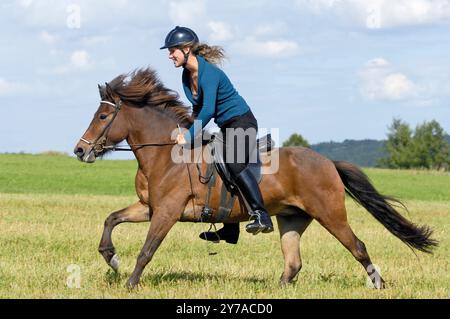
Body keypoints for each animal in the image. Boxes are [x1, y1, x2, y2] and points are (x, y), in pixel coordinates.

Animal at [73, 69, 436, 292]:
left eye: (103, 116)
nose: (80, 150)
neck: (165, 154)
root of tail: (327, 163)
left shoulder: (167, 212)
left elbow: (147, 250)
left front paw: (130, 283)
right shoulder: (149, 207)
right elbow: (111, 220)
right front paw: (111, 258)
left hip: (330, 214)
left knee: (357, 247)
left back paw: (378, 284)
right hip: (292, 218)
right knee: (293, 263)